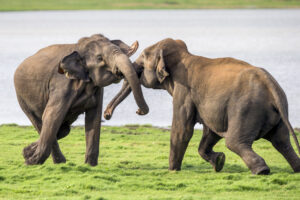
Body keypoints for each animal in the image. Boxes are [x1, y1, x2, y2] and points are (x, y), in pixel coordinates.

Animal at [14, 34, 149, 166]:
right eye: (99, 58)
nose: (138, 111)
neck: (78, 48)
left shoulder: (97, 89)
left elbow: (93, 118)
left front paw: (90, 165)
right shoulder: (61, 85)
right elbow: (51, 115)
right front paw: (30, 163)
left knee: (63, 130)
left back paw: (30, 153)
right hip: (23, 99)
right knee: (42, 123)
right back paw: (51, 161)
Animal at [104, 38, 300, 174]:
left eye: (143, 58)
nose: (106, 115)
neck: (184, 56)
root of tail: (270, 85)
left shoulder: (184, 91)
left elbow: (182, 130)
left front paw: (172, 170)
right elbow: (211, 132)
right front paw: (219, 162)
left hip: (246, 109)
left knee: (235, 141)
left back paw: (262, 171)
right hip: (276, 113)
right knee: (282, 141)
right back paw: (296, 168)